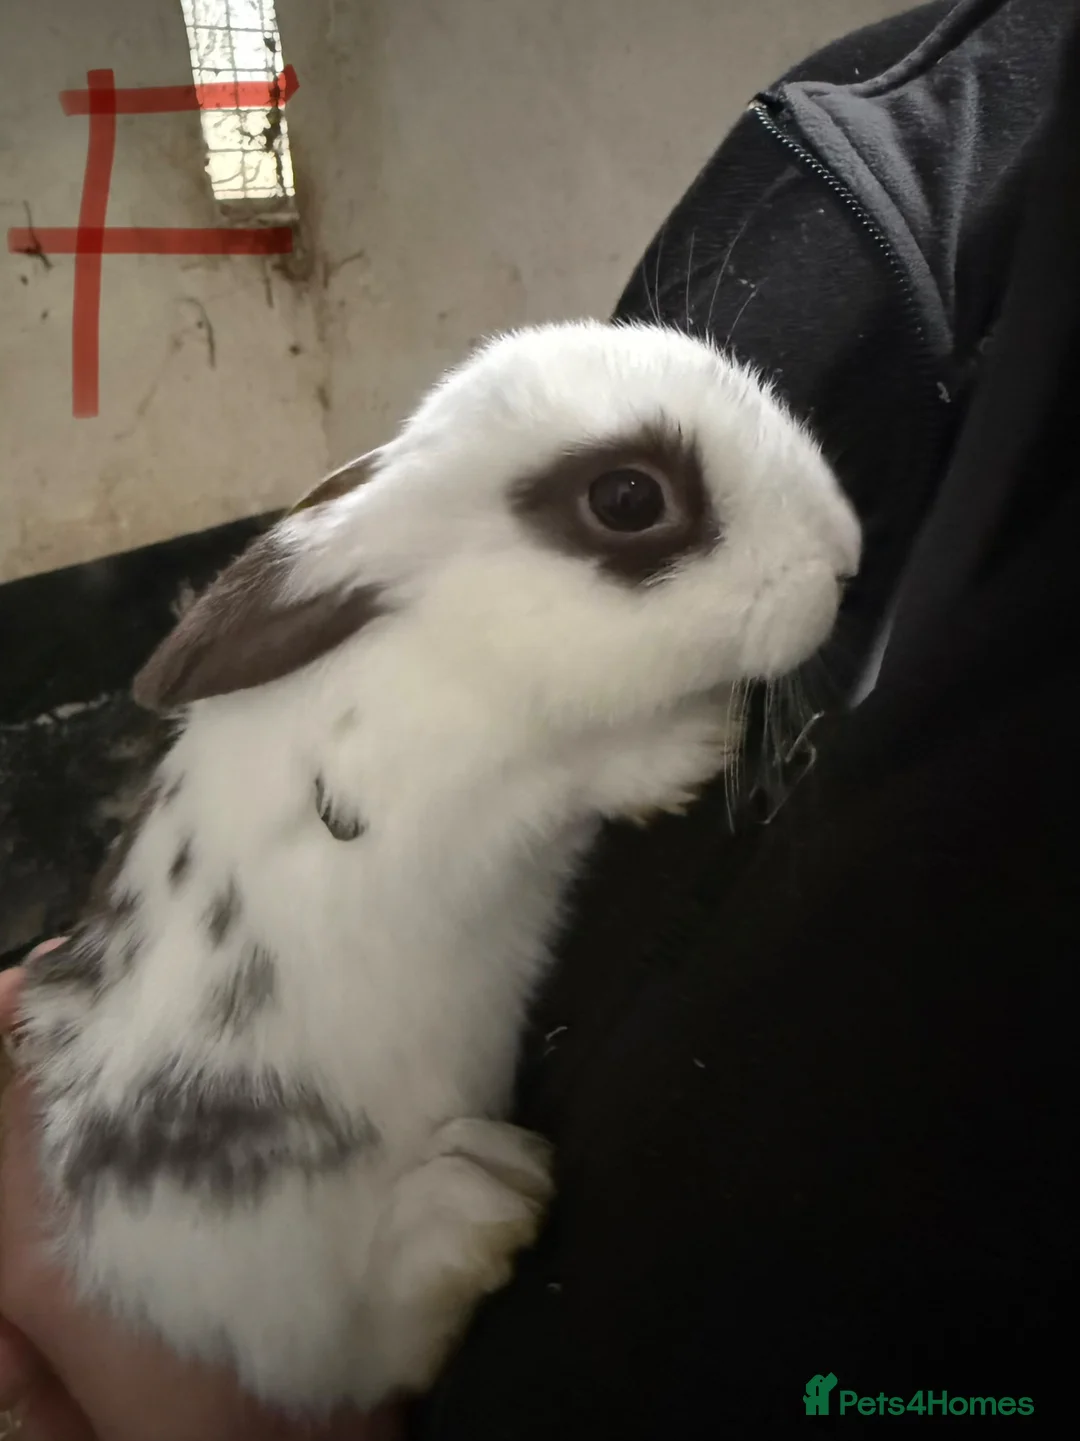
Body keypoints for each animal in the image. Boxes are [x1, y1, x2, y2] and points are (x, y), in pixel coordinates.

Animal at [12, 319, 861, 1415]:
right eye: (629, 499)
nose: (844, 557)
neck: (455, 638)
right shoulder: (472, 796)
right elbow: (580, 769)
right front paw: (693, 743)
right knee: (358, 1354)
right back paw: (472, 1209)